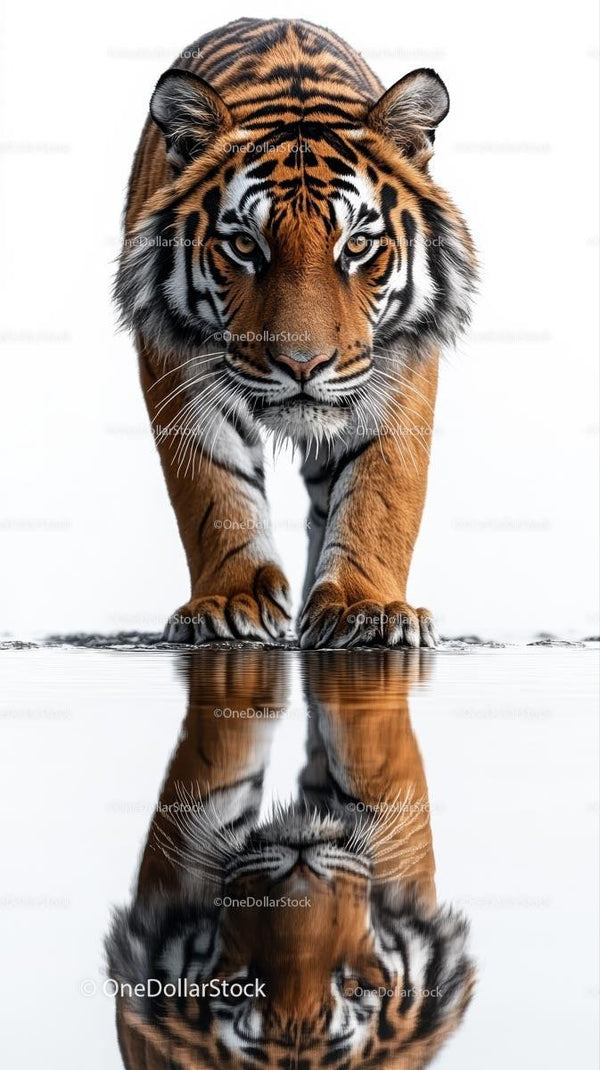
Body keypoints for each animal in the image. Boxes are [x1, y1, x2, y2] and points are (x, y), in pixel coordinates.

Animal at [116, 18, 476, 648]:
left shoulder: (403, 357)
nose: (303, 365)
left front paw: (367, 607)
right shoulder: (172, 358)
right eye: (244, 245)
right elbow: (212, 488)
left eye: (357, 245)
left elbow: (382, 488)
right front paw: (229, 599)